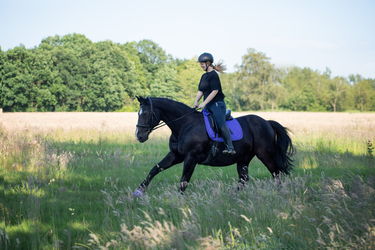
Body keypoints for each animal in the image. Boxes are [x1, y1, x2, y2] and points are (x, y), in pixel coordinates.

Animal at [134, 96, 296, 196]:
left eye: (146, 114)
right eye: (138, 113)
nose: (139, 136)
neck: (185, 125)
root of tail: (267, 122)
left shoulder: (191, 158)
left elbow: (183, 182)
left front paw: (179, 202)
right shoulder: (175, 155)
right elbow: (155, 169)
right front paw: (138, 192)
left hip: (265, 155)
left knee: (277, 173)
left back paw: (278, 195)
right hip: (243, 160)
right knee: (244, 180)